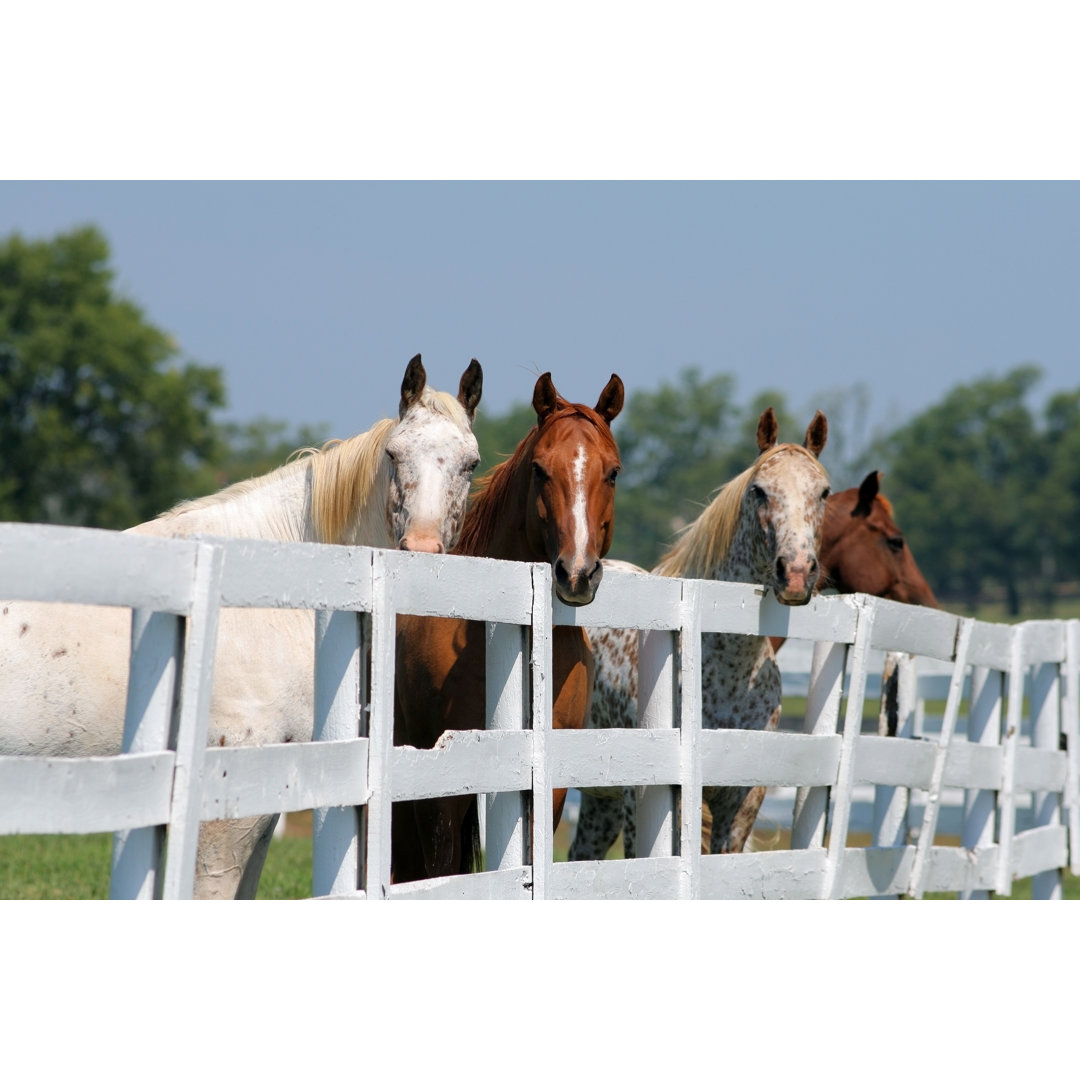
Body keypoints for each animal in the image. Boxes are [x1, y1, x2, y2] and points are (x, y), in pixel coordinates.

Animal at [570, 408, 829, 864]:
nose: (797, 572)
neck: (726, 670)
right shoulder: (646, 801)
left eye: (824, 493)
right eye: (759, 491)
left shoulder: (741, 801)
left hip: (601, 804)